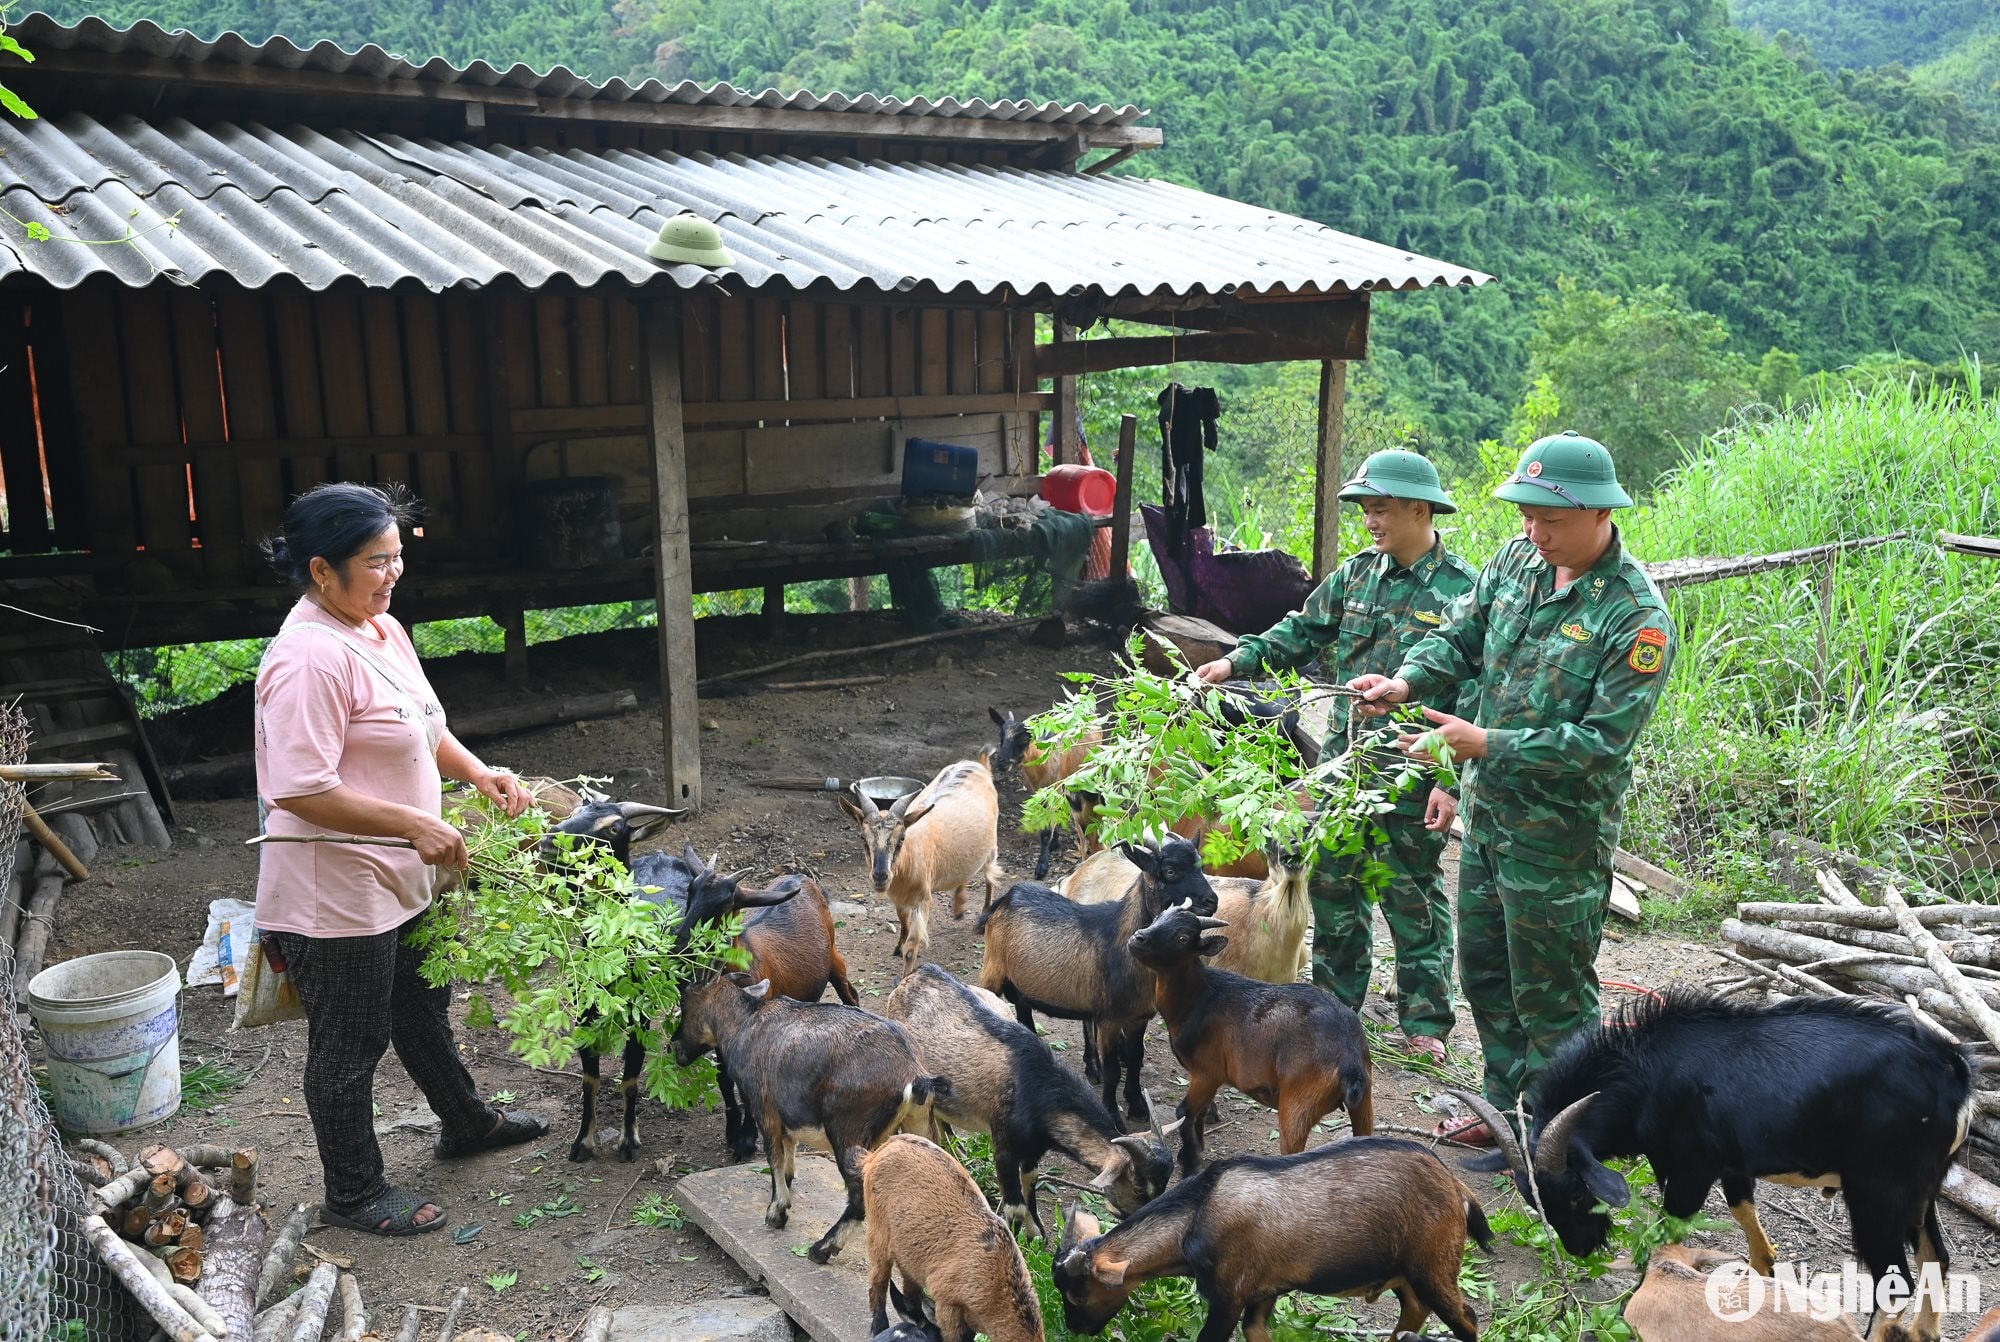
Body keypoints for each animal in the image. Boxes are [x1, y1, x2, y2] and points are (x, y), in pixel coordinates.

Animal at [864, 1136, 1048, 1342]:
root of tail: (888, 1145)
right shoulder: (947, 1301)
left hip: (908, 1256)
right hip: (877, 1229)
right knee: (878, 1280)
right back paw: (879, 1326)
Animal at [972, 836, 1208, 1128]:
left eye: (1201, 865)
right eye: (1171, 871)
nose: (1211, 900)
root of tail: (1006, 898)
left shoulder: (1139, 1017)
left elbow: (1135, 1057)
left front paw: (1137, 1105)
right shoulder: (1109, 1019)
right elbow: (1112, 1069)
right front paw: (1114, 1115)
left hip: (1022, 982)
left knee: (1024, 1012)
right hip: (992, 969)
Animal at [1456, 992, 1984, 1342]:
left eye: (1575, 1191)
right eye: (1532, 1198)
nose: (1581, 1248)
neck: (1647, 1072)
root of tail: (1954, 1072)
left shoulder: (1690, 1169)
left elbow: (1667, 1236)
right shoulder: (1729, 1164)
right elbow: (1751, 1233)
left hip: (1878, 1191)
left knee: (1894, 1283)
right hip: (1923, 1189)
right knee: (1937, 1257)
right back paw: (1926, 1332)